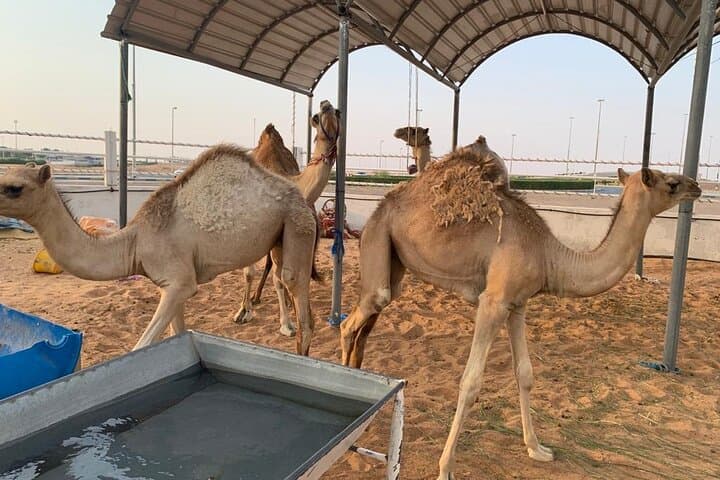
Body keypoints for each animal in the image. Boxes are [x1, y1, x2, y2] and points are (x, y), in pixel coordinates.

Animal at [0, 145, 319, 355]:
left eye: (14, 187)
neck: (134, 242)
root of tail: (301, 198)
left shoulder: (179, 281)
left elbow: (142, 344)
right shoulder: (171, 286)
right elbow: (179, 333)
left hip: (297, 223)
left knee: (297, 296)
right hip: (280, 236)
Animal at [234, 101, 340, 336]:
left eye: (338, 113)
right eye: (318, 116)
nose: (326, 103)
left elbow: (281, 277)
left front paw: (287, 320)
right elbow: (255, 273)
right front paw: (246, 312)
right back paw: (249, 304)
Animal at [338, 150, 701, 479]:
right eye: (670, 183)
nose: (696, 186)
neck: (549, 255)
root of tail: (382, 205)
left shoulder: (518, 304)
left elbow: (524, 373)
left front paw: (537, 449)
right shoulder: (493, 301)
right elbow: (470, 382)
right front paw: (445, 469)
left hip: (394, 264)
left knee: (364, 323)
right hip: (378, 241)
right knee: (352, 321)